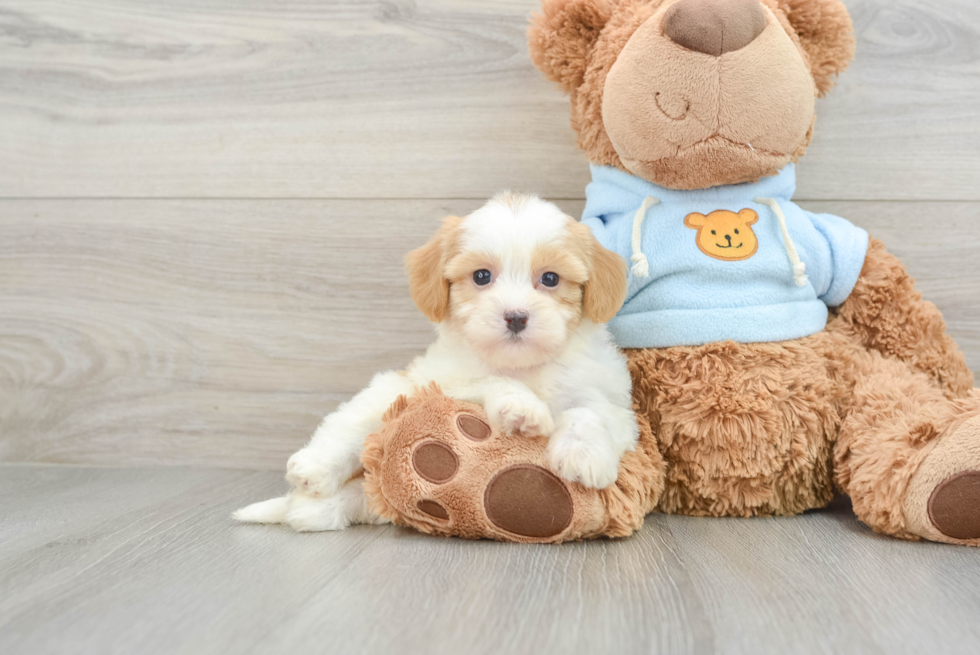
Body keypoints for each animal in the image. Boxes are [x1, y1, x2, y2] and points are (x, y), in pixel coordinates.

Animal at [234, 195, 640, 532]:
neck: (522, 366)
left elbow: (588, 410)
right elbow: (493, 382)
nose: (515, 317)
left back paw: (316, 510)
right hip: (391, 391)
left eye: (551, 278)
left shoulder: (614, 403)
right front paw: (521, 408)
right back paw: (313, 473)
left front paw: (582, 455)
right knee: (348, 426)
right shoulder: (443, 383)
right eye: (481, 276)